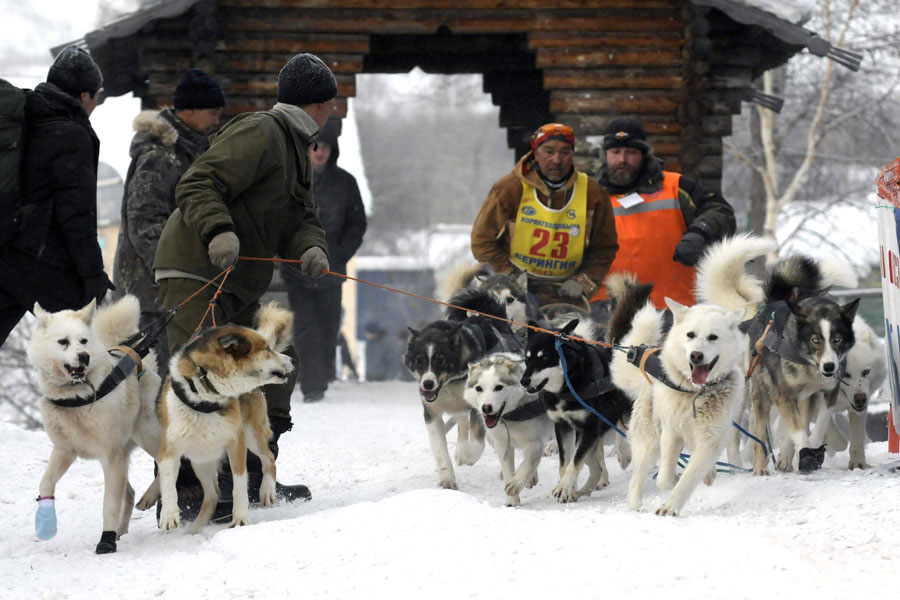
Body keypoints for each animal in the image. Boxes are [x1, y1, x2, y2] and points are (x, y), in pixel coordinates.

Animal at [29, 296, 163, 552]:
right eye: (63, 342)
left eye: (83, 341)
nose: (83, 356)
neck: (77, 397)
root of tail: (140, 362)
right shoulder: (64, 450)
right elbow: (45, 483)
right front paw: (45, 524)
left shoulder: (111, 457)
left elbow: (109, 505)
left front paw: (106, 540)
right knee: (130, 492)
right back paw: (122, 528)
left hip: (149, 436)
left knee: (175, 461)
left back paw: (149, 498)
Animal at [156, 302, 294, 532]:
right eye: (267, 349)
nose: (291, 359)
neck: (204, 398)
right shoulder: (169, 448)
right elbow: (168, 485)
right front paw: (169, 515)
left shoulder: (236, 441)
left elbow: (239, 484)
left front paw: (240, 519)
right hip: (199, 458)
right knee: (212, 495)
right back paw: (194, 529)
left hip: (253, 434)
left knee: (268, 458)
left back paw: (267, 490)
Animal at [464, 354, 556, 504]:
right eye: (479, 388)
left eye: (498, 387)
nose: (486, 408)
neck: (512, 415)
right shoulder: (502, 444)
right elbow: (508, 469)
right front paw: (511, 502)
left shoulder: (534, 443)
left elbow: (527, 463)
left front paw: (516, 484)